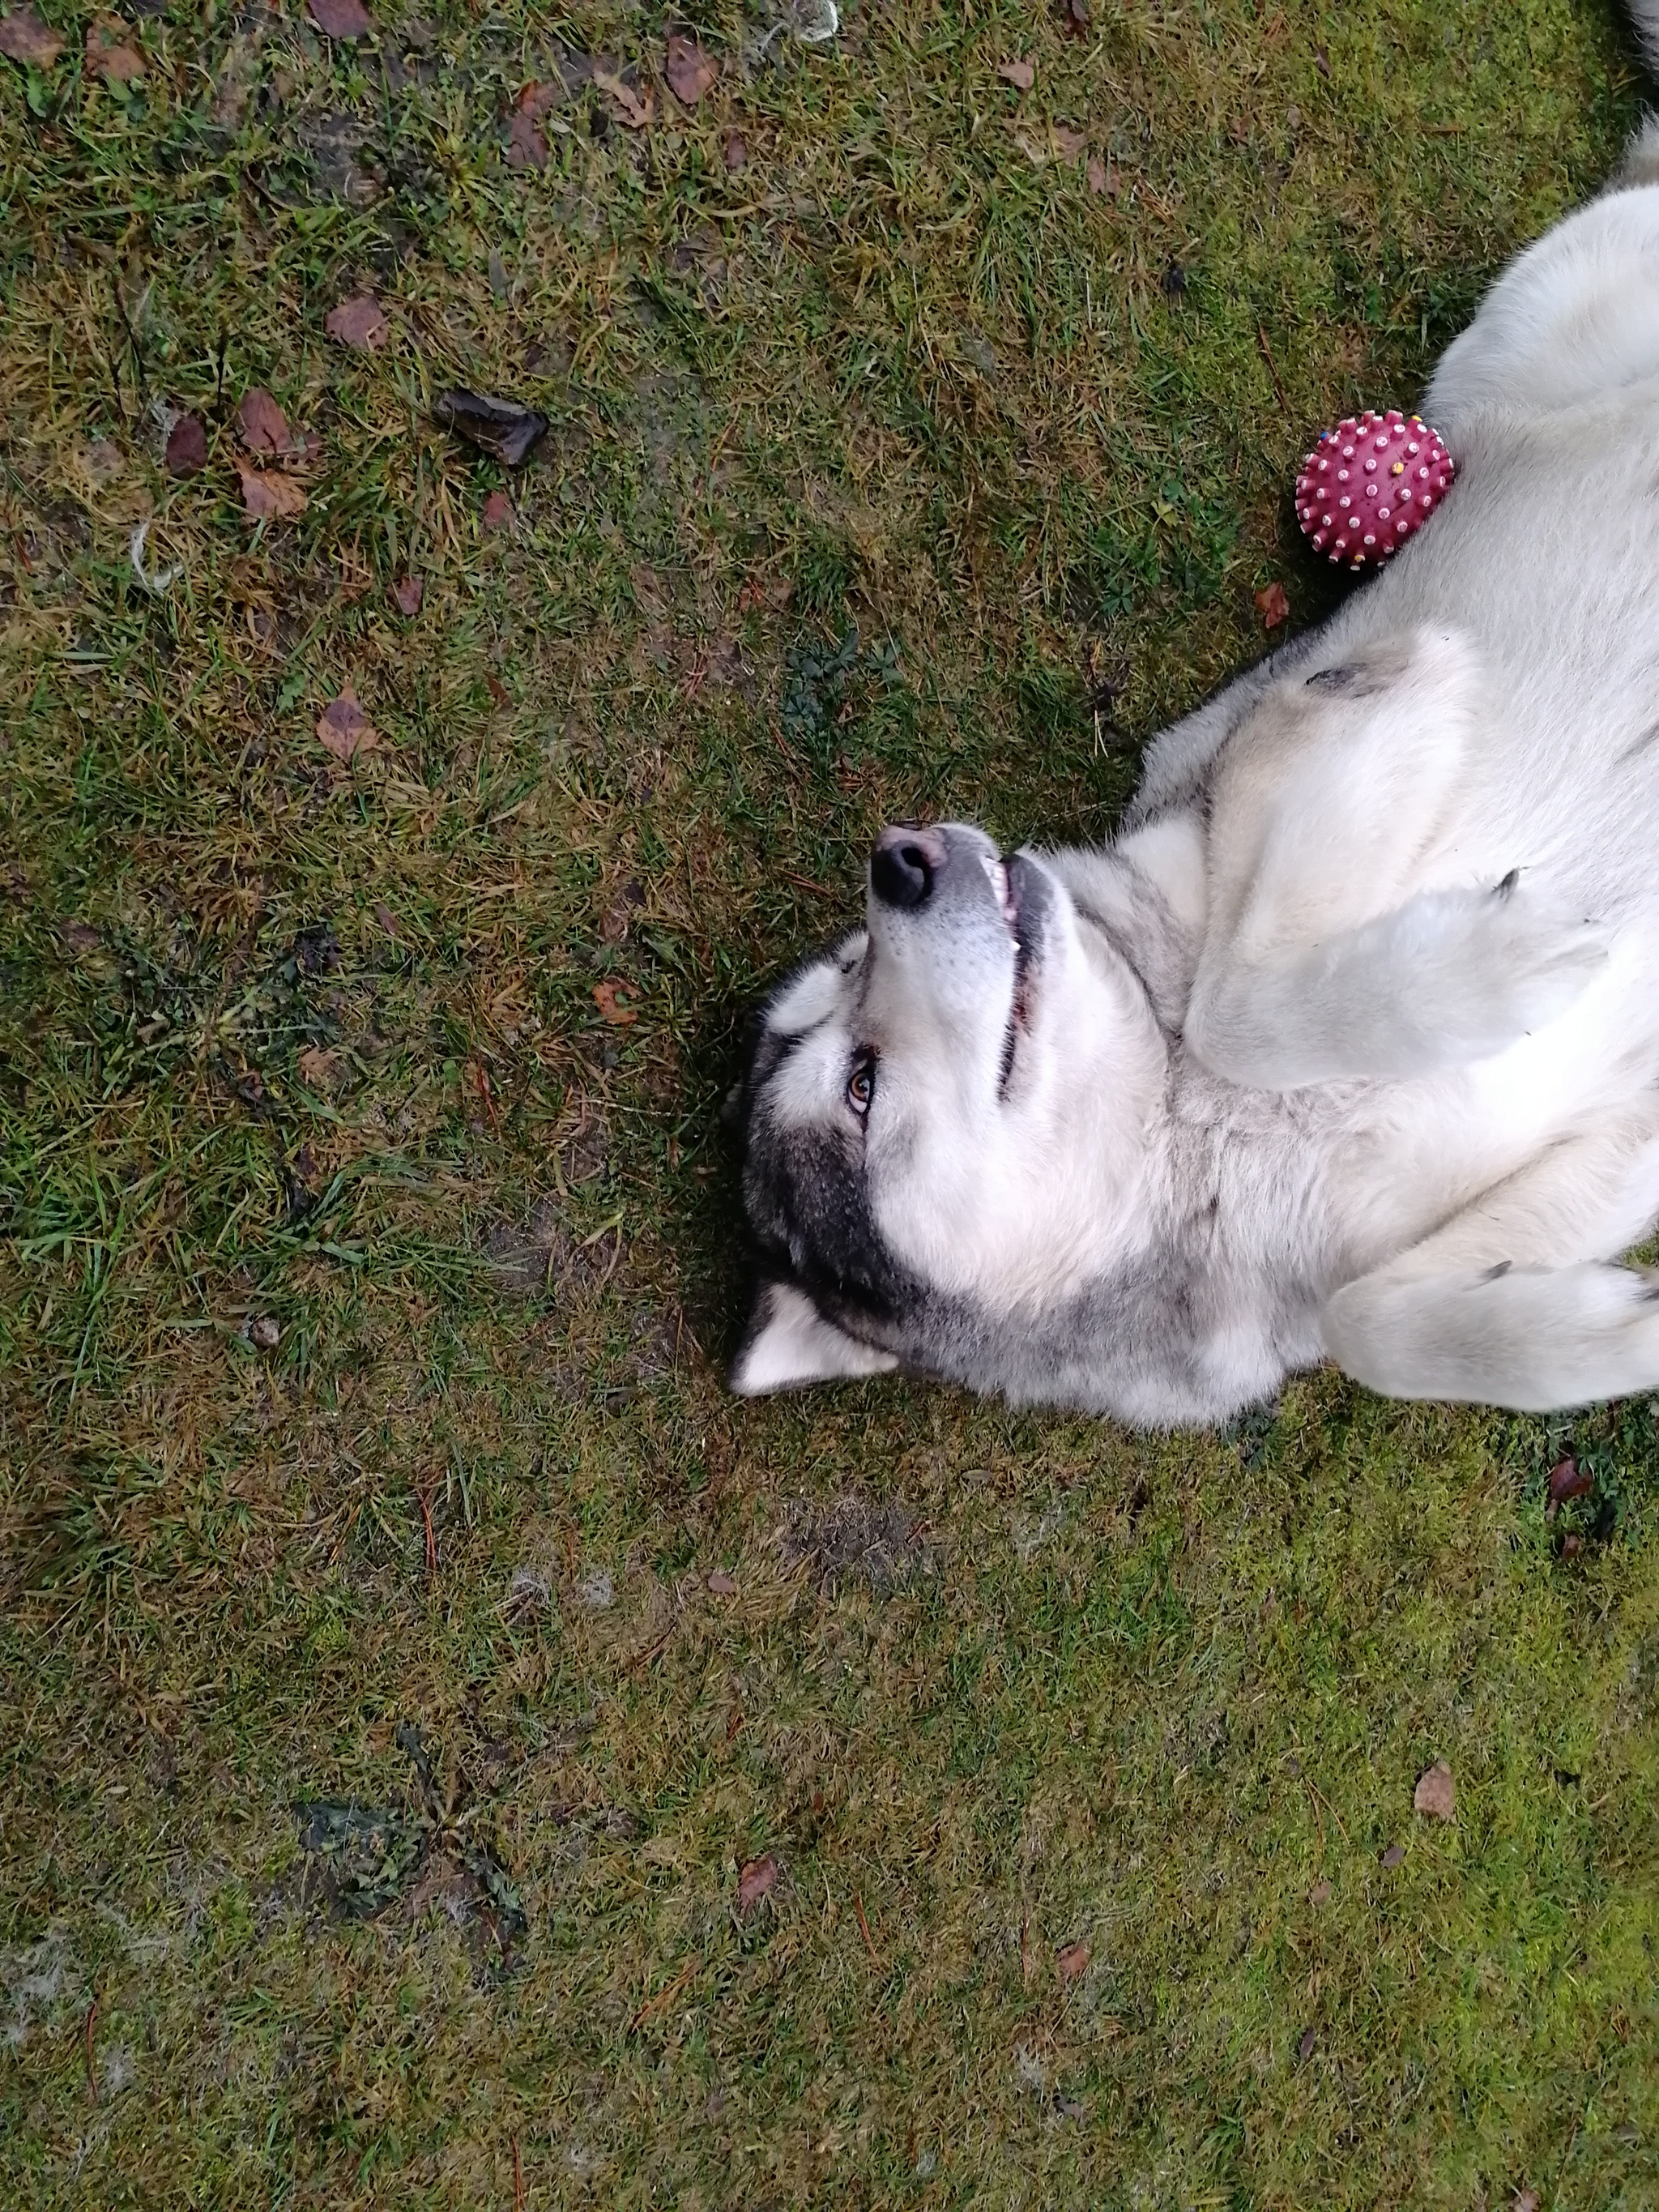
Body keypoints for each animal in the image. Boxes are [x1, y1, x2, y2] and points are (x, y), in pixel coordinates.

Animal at [730, 8, 1659, 1424]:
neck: (1200, 1137)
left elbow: (1235, 999)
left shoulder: (1290, 717)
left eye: (845, 975)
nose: (900, 856)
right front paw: (1609, 1336)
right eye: (860, 1085)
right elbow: (1371, 1320)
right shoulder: (1604, 1143)